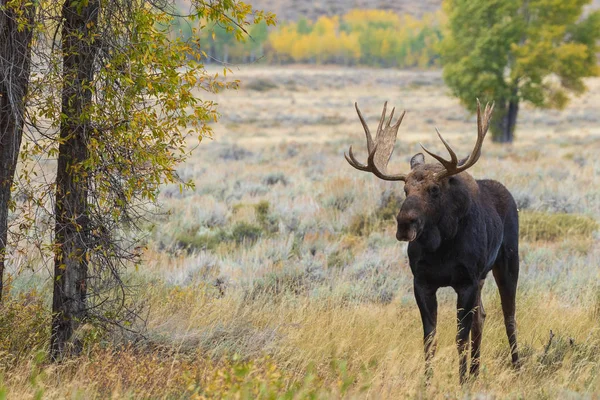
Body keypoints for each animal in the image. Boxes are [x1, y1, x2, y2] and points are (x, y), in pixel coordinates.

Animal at [346, 101, 520, 384]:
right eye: (405, 190)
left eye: (434, 190)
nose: (404, 224)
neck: (441, 248)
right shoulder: (423, 282)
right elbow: (430, 339)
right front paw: (428, 382)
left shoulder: (466, 282)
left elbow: (460, 338)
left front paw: (461, 382)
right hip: (482, 278)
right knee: (482, 318)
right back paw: (476, 372)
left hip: (508, 261)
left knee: (509, 316)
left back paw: (516, 368)